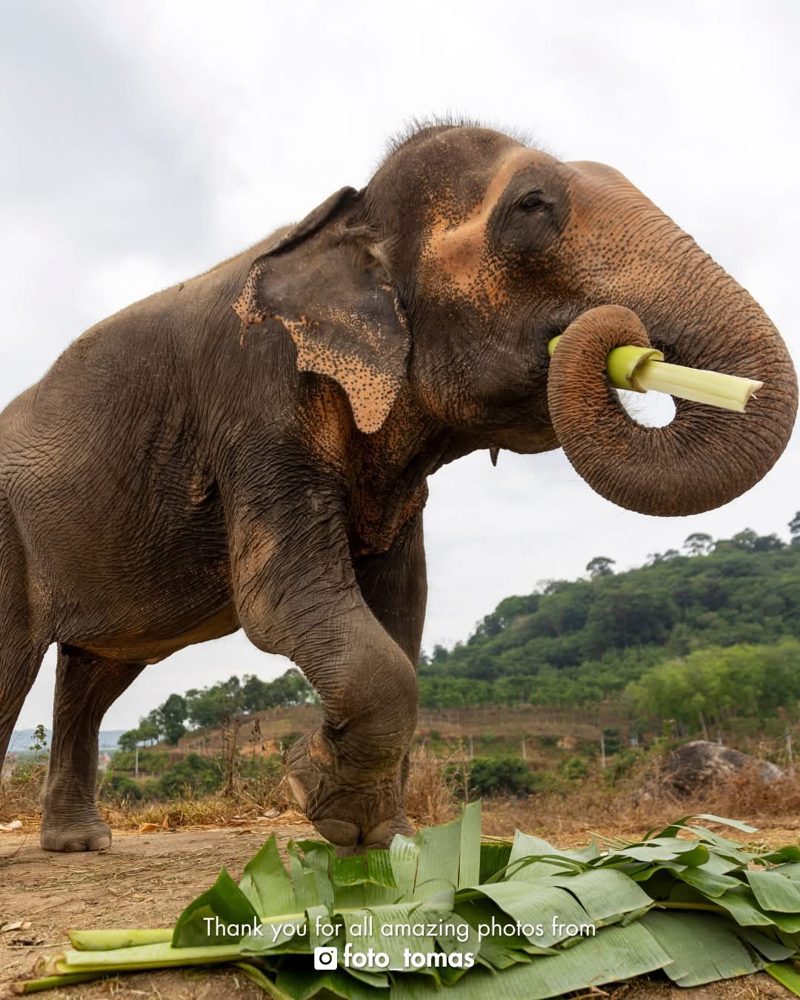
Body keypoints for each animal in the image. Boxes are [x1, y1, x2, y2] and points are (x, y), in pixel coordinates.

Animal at [0, 122, 796, 853]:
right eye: (532, 206)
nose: (627, 347)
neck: (343, 222)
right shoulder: (257, 406)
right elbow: (281, 597)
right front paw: (317, 795)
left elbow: (402, 608)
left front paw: (379, 836)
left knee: (96, 674)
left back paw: (79, 844)